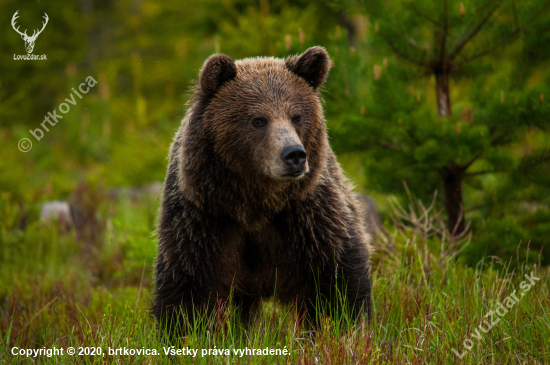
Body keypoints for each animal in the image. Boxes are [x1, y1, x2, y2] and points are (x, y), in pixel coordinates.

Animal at [153, 46, 374, 336]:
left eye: (297, 116)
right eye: (258, 120)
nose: (294, 155)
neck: (256, 202)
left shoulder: (308, 215)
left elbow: (339, 277)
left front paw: (347, 328)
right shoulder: (203, 218)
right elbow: (188, 285)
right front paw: (182, 332)